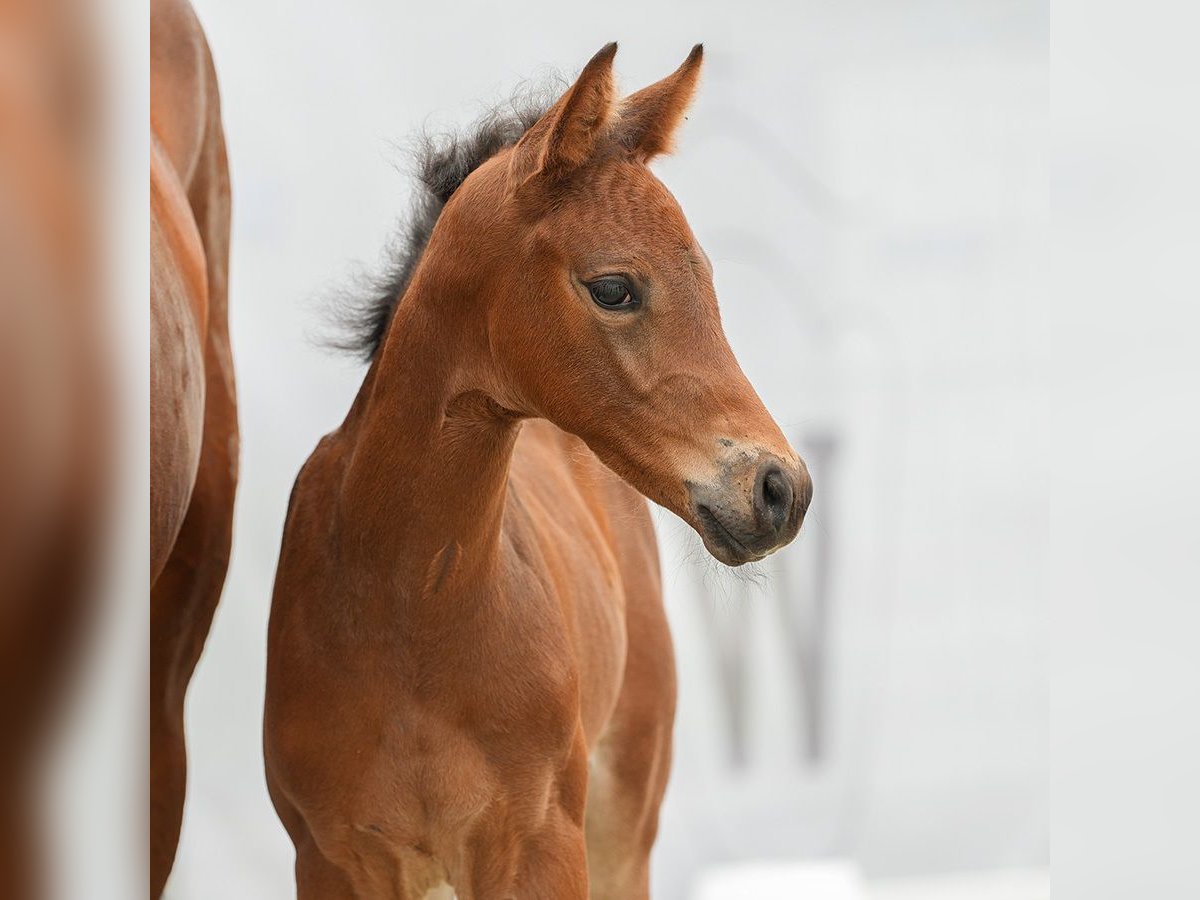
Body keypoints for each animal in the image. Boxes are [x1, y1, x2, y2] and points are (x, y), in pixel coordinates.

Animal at [262, 44, 806, 900]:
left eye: (710, 281)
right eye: (613, 287)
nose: (781, 489)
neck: (408, 608)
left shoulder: (539, 844)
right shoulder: (332, 859)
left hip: (624, 819)